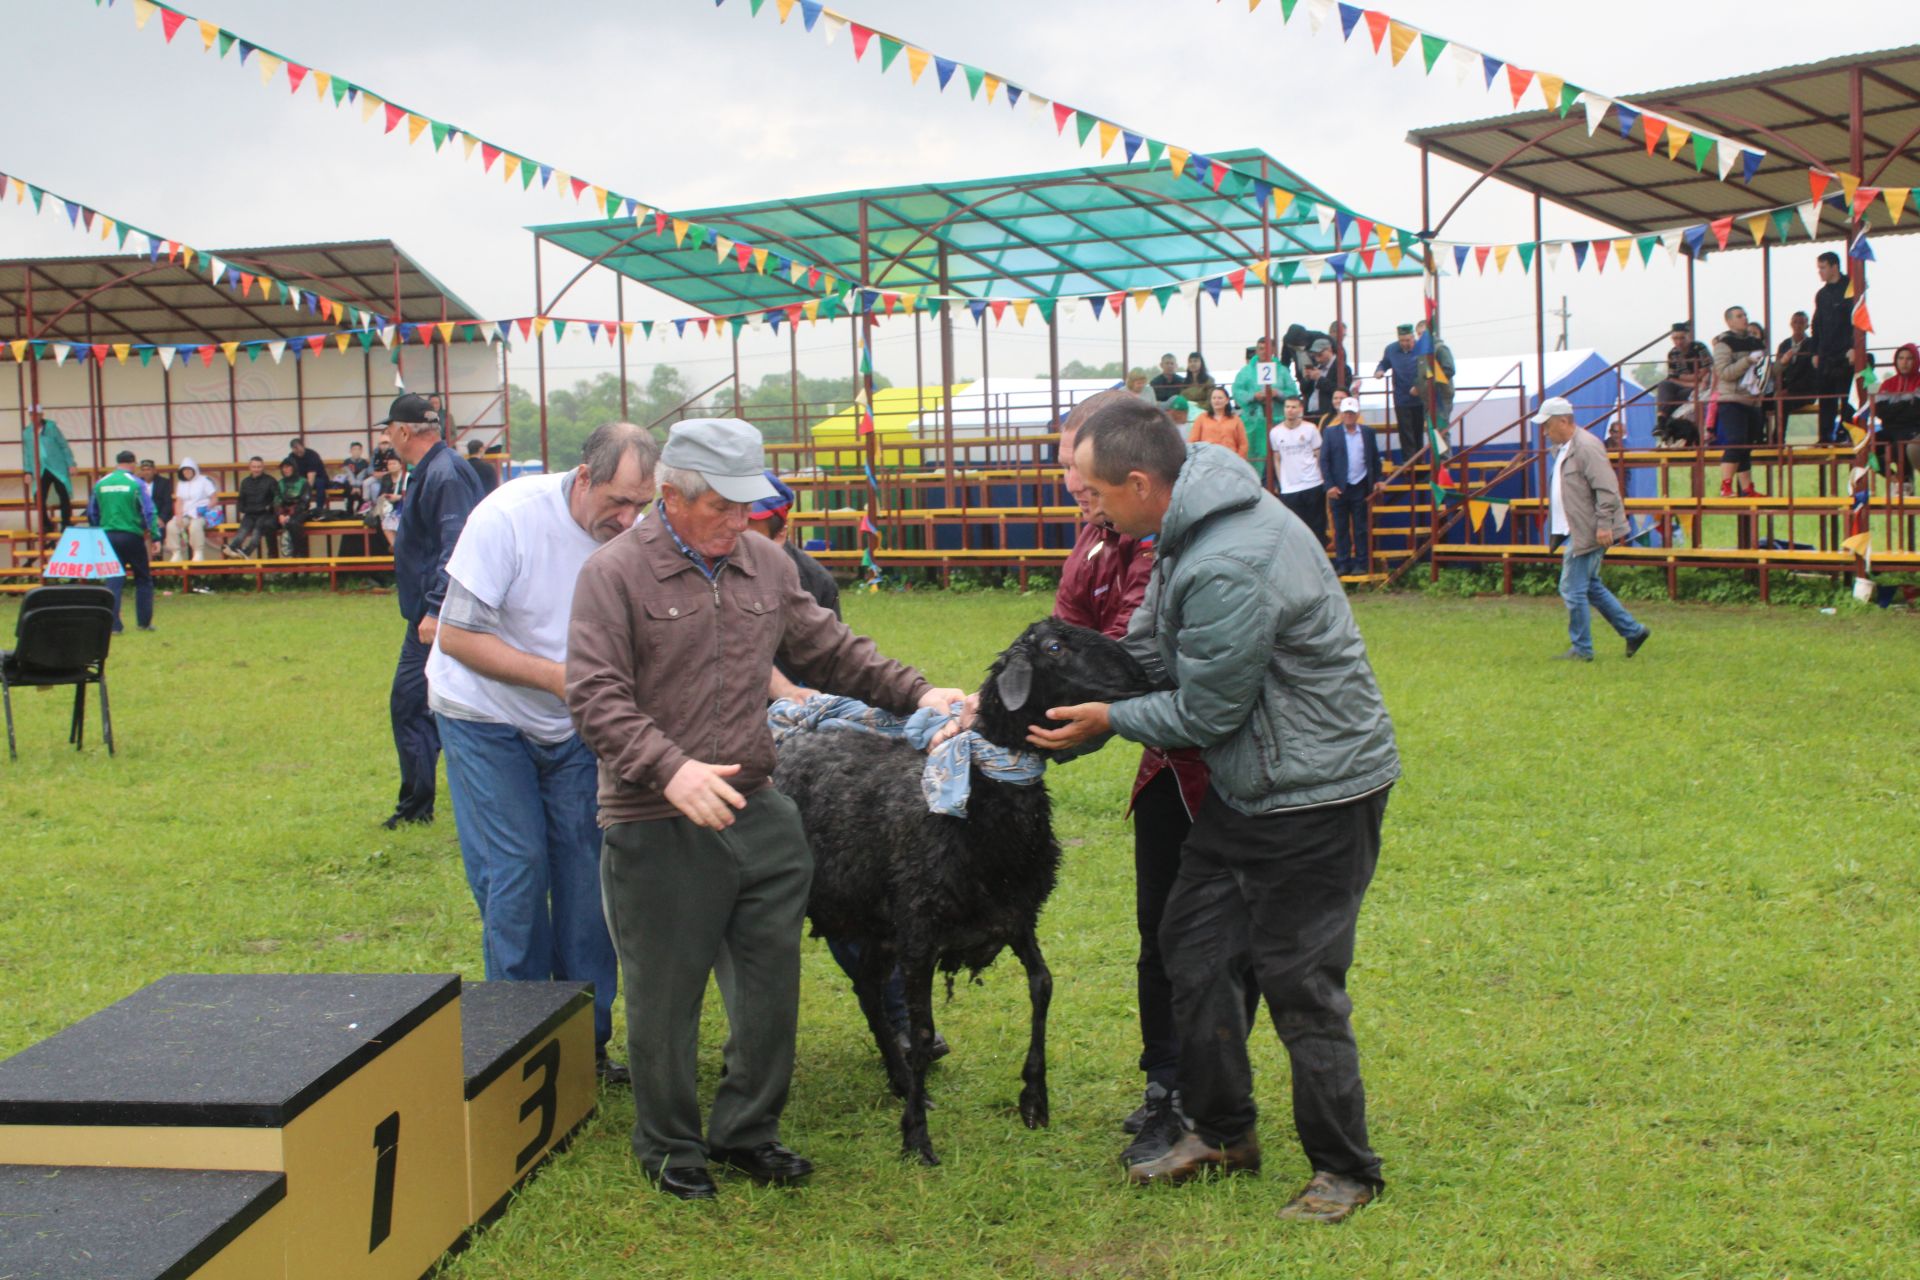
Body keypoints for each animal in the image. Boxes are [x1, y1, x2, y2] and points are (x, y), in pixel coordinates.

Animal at [768, 614, 1152, 1166]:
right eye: (1055, 647)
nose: (1142, 675)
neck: (986, 798)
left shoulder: (1015, 916)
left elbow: (1043, 985)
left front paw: (1034, 1098)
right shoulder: (921, 935)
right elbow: (924, 1030)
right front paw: (916, 1137)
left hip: (882, 926)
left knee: (866, 988)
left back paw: (899, 1079)